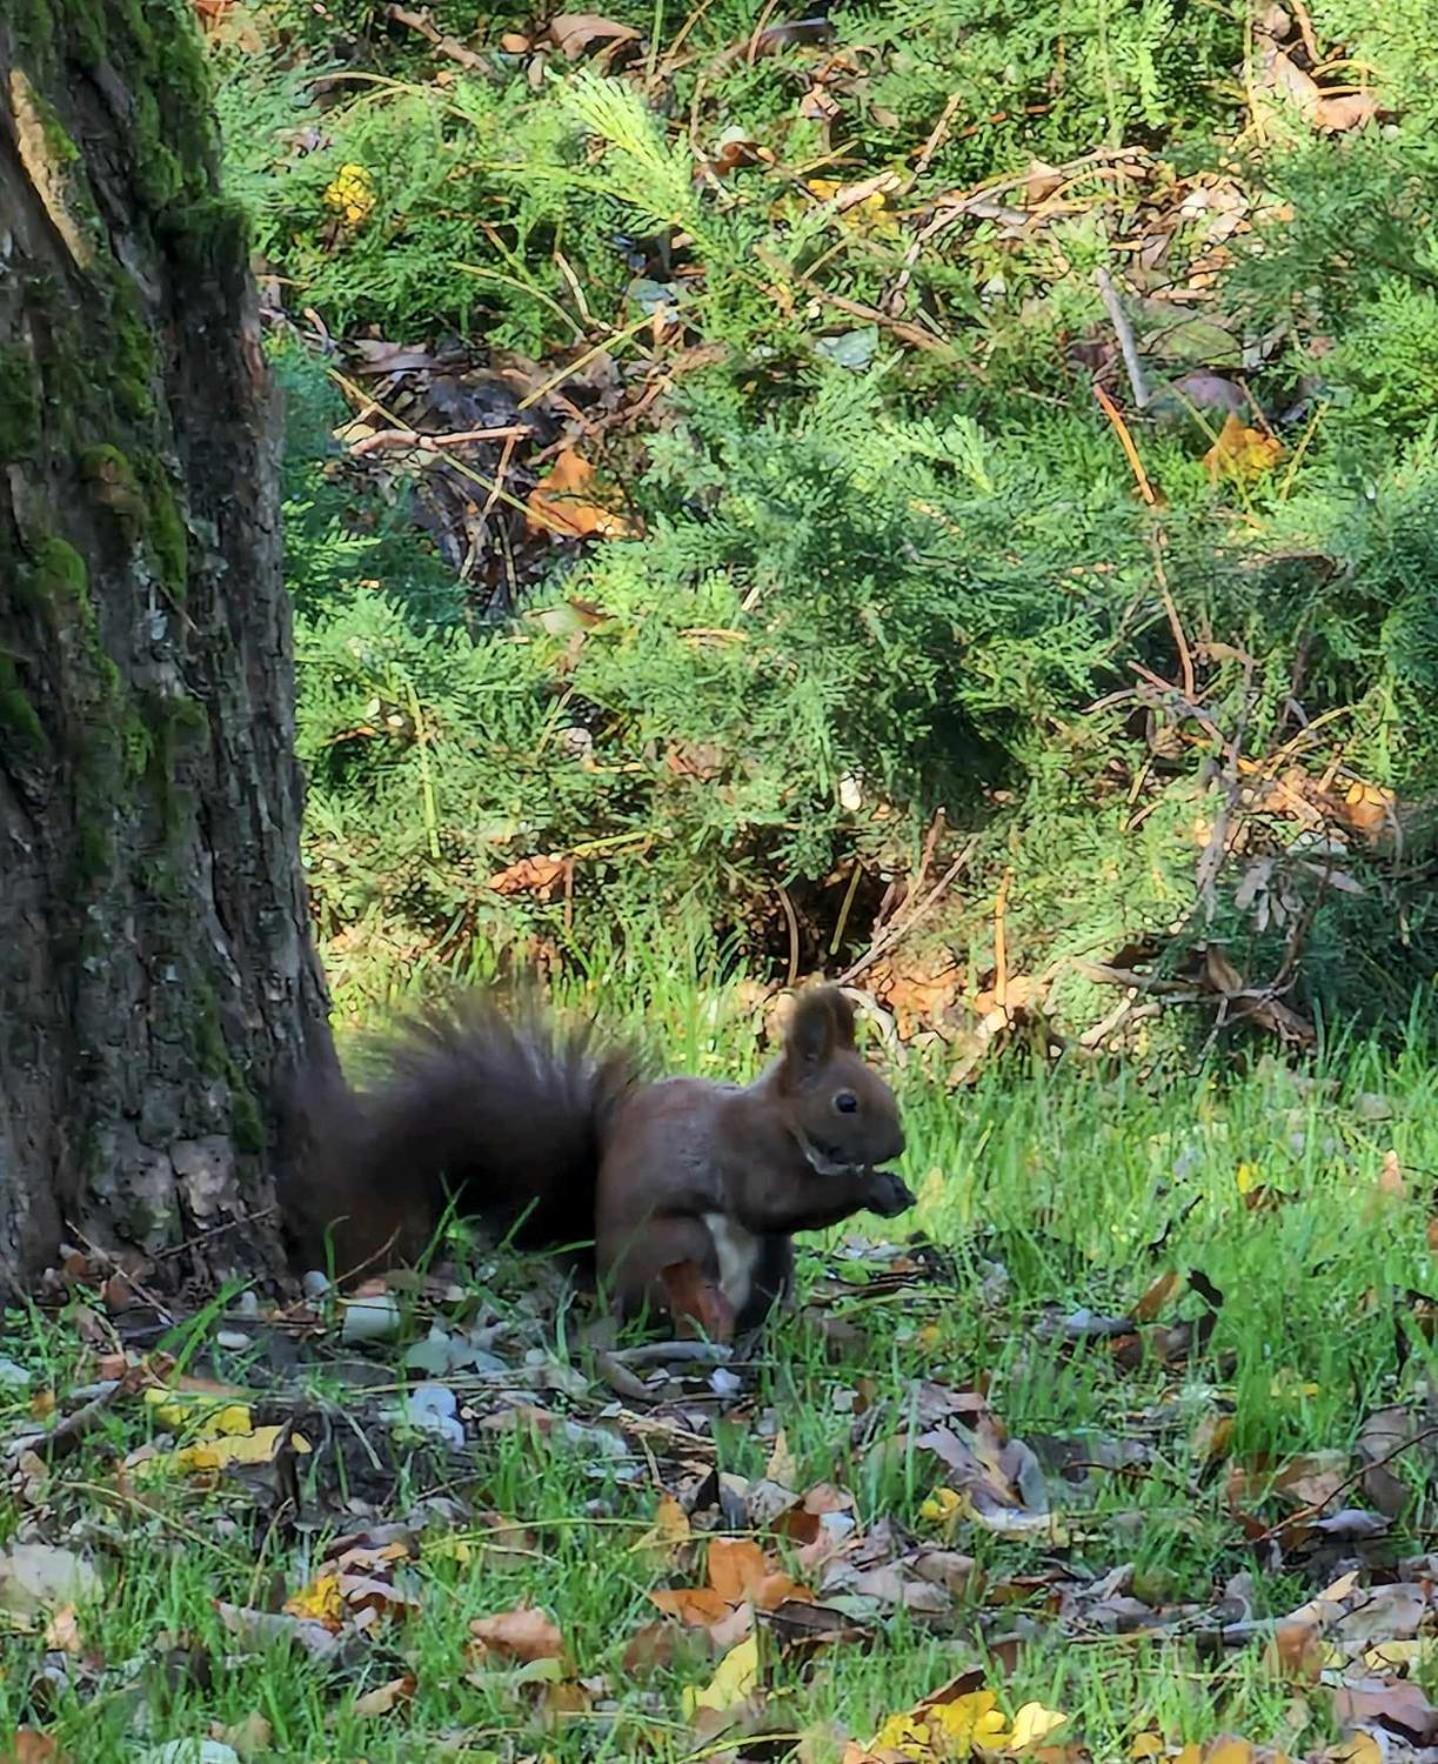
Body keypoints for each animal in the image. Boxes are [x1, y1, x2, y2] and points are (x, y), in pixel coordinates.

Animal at [280, 987, 910, 1340]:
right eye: (846, 1102)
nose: (900, 1146)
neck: (786, 1124)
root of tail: (603, 1279)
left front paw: (894, 1189)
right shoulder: (746, 1153)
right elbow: (776, 1202)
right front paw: (872, 1189)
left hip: (771, 1264)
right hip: (673, 1240)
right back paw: (703, 1322)